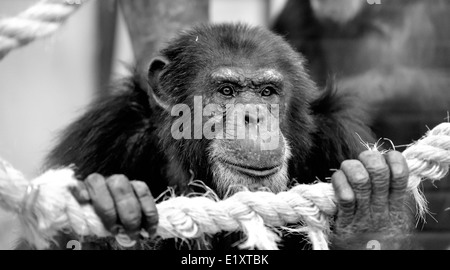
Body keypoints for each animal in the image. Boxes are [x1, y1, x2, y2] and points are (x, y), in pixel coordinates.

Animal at [43, 24, 414, 250]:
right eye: (226, 91)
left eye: (267, 92)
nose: (254, 117)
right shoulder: (103, 136)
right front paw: (117, 210)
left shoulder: (340, 138)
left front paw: (373, 214)